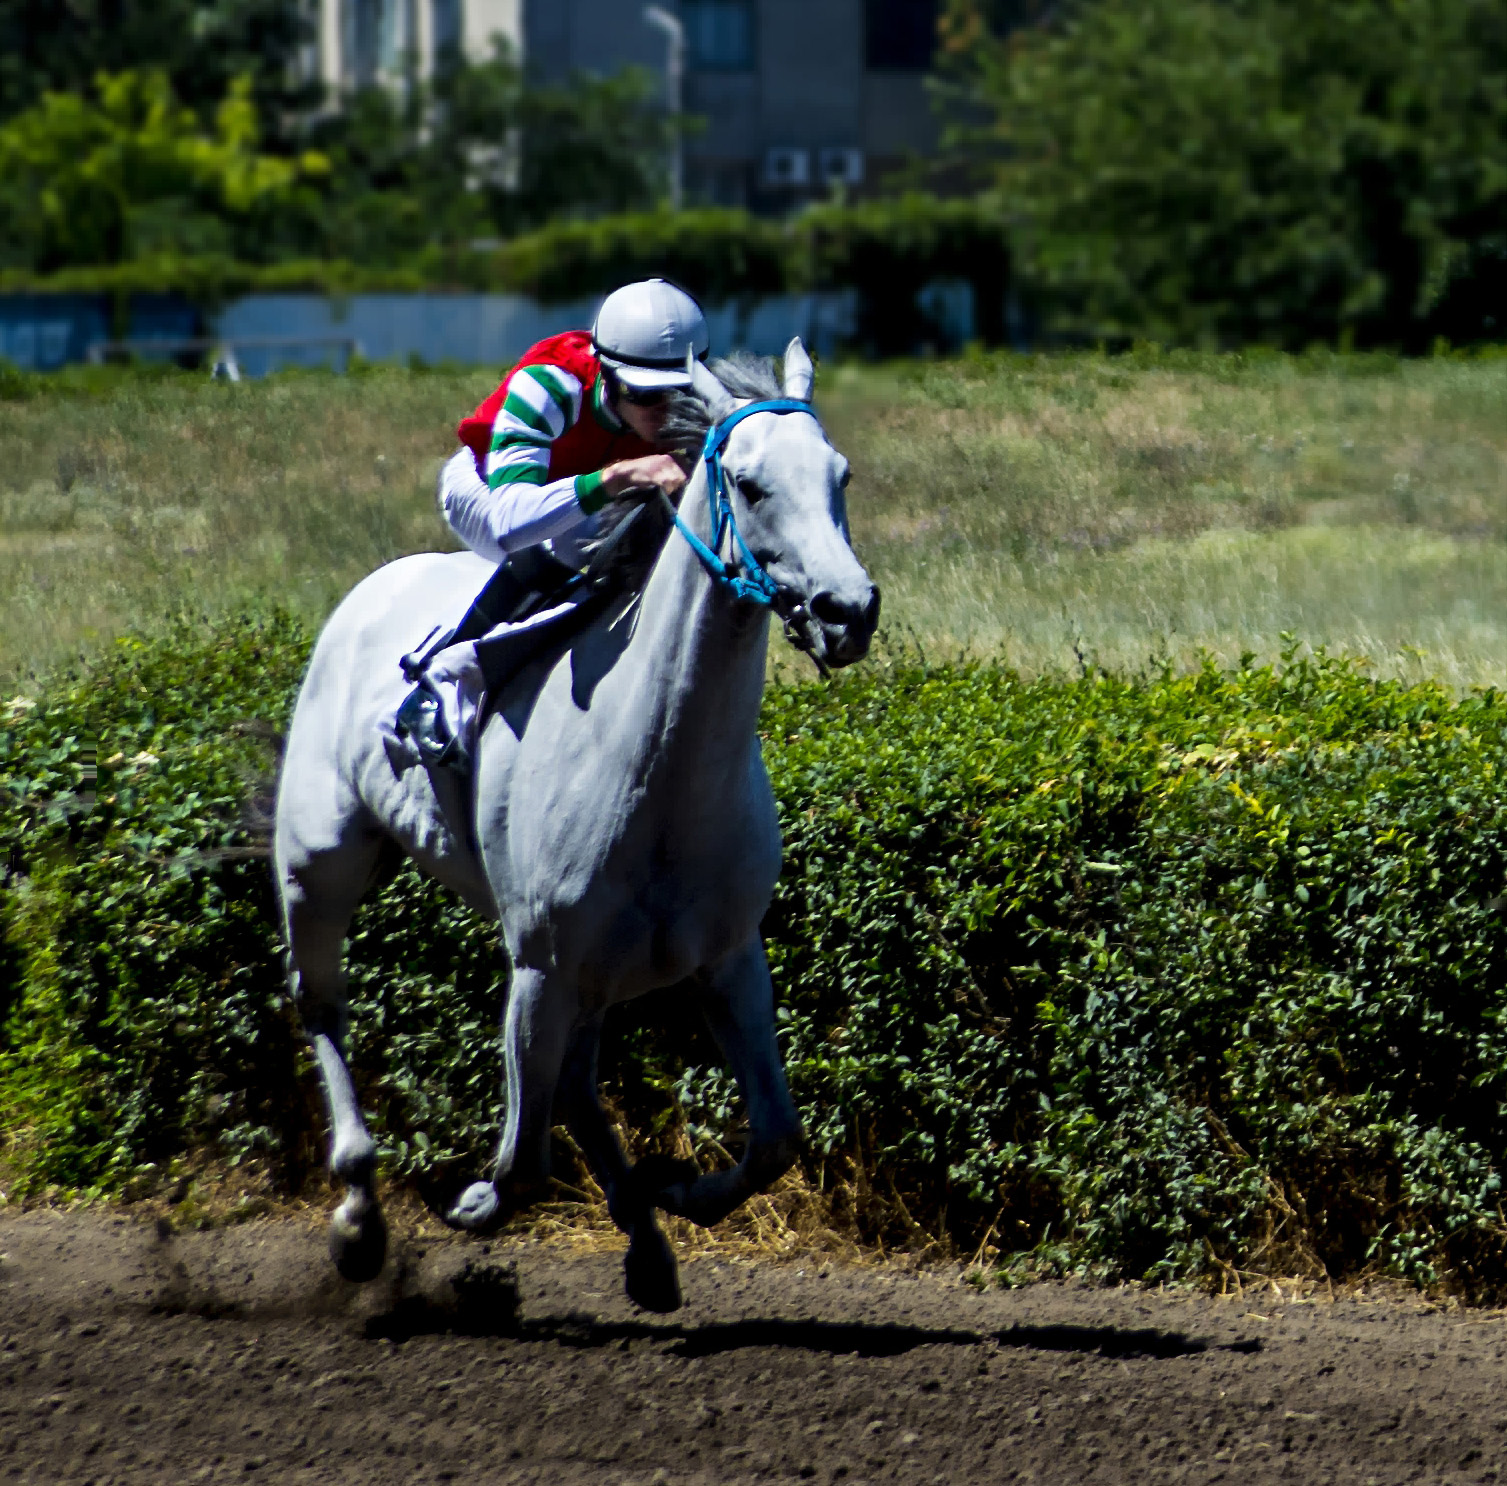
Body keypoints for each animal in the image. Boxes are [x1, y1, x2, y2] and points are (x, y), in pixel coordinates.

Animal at [277, 339, 880, 1308]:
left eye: (840, 475)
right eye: (749, 485)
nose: (846, 611)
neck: (654, 771)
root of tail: (374, 586)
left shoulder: (726, 954)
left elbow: (775, 1138)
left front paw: (677, 1191)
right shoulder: (539, 963)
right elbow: (522, 1160)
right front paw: (473, 1201)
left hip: (597, 971)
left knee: (579, 1086)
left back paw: (646, 1244)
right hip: (319, 860)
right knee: (321, 1004)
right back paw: (361, 1216)